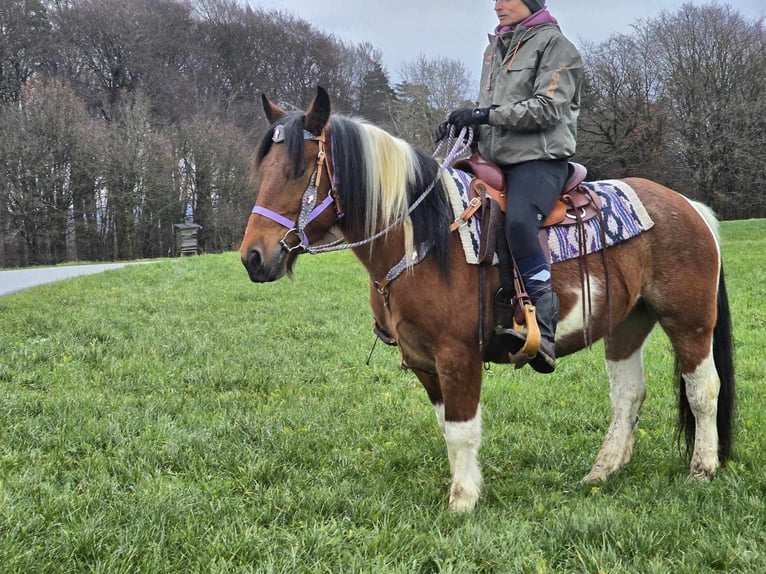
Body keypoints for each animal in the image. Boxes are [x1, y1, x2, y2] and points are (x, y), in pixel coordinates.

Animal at [243, 86, 736, 512]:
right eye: (262, 170)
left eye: (299, 170)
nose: (253, 257)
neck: (424, 237)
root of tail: (690, 207)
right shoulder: (423, 361)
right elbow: (448, 427)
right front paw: (467, 488)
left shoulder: (457, 355)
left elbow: (462, 430)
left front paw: (461, 503)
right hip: (627, 323)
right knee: (628, 395)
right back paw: (603, 470)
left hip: (689, 320)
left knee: (702, 390)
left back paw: (702, 469)